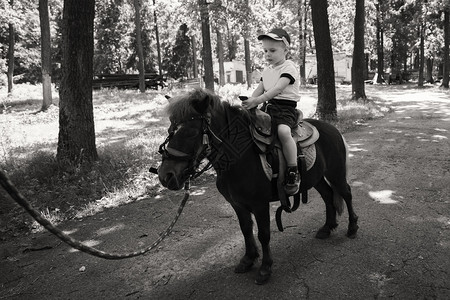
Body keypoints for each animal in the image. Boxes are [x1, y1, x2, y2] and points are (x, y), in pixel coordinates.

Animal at [158, 88, 358, 284]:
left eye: (191, 133)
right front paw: (248, 259)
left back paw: (352, 228)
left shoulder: (260, 204)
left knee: (346, 194)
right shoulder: (237, 204)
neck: (240, 157)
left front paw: (265, 268)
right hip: (316, 178)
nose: (165, 176)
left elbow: (263, 234)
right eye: (169, 129)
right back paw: (327, 228)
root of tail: (333, 129)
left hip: (336, 172)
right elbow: (246, 229)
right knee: (328, 195)